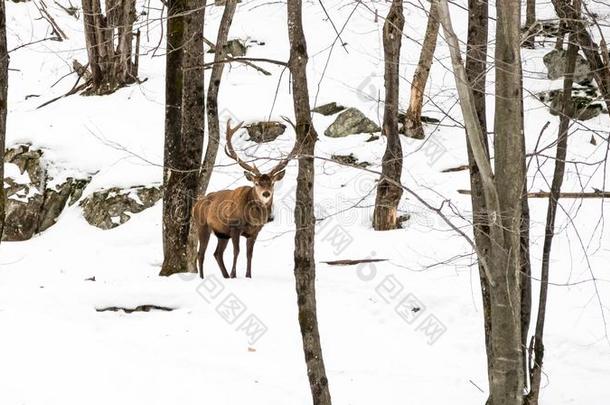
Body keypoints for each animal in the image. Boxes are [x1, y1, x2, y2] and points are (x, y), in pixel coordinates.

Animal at [189, 118, 296, 280]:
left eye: (272, 183)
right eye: (256, 183)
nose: (266, 194)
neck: (252, 218)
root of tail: (196, 204)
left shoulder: (255, 232)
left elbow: (249, 254)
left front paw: (248, 276)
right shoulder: (235, 227)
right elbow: (237, 251)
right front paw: (234, 275)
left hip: (221, 233)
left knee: (217, 254)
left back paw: (225, 275)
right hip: (202, 226)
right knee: (201, 254)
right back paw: (203, 277)